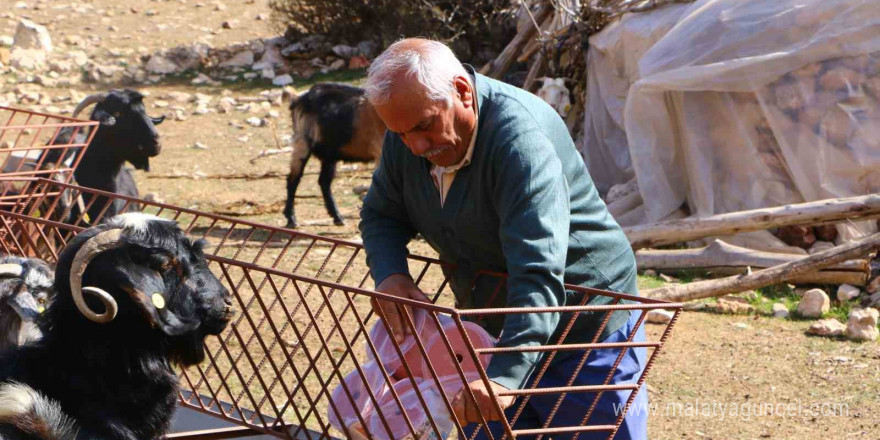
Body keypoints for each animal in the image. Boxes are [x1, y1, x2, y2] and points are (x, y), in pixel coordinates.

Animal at [284, 82, 384, 229]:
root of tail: (299, 99)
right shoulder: (380, 152)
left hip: (329, 155)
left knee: (323, 182)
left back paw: (338, 218)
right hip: (302, 143)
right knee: (294, 178)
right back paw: (292, 219)